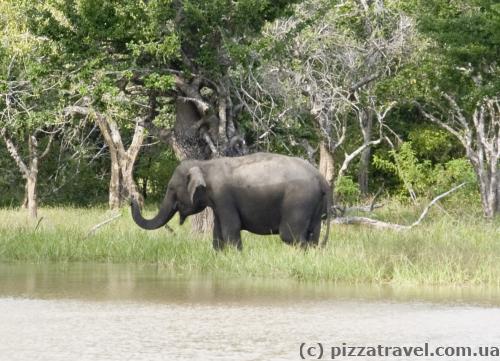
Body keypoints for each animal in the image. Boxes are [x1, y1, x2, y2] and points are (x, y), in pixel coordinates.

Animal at [131, 152, 330, 250]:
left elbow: (231, 229)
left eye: (172, 189)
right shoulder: (217, 202)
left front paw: (236, 255)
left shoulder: (223, 196)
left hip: (299, 201)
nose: (132, 199)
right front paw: (219, 254)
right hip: (315, 206)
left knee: (291, 237)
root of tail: (322, 179)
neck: (205, 164)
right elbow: (217, 232)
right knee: (313, 235)